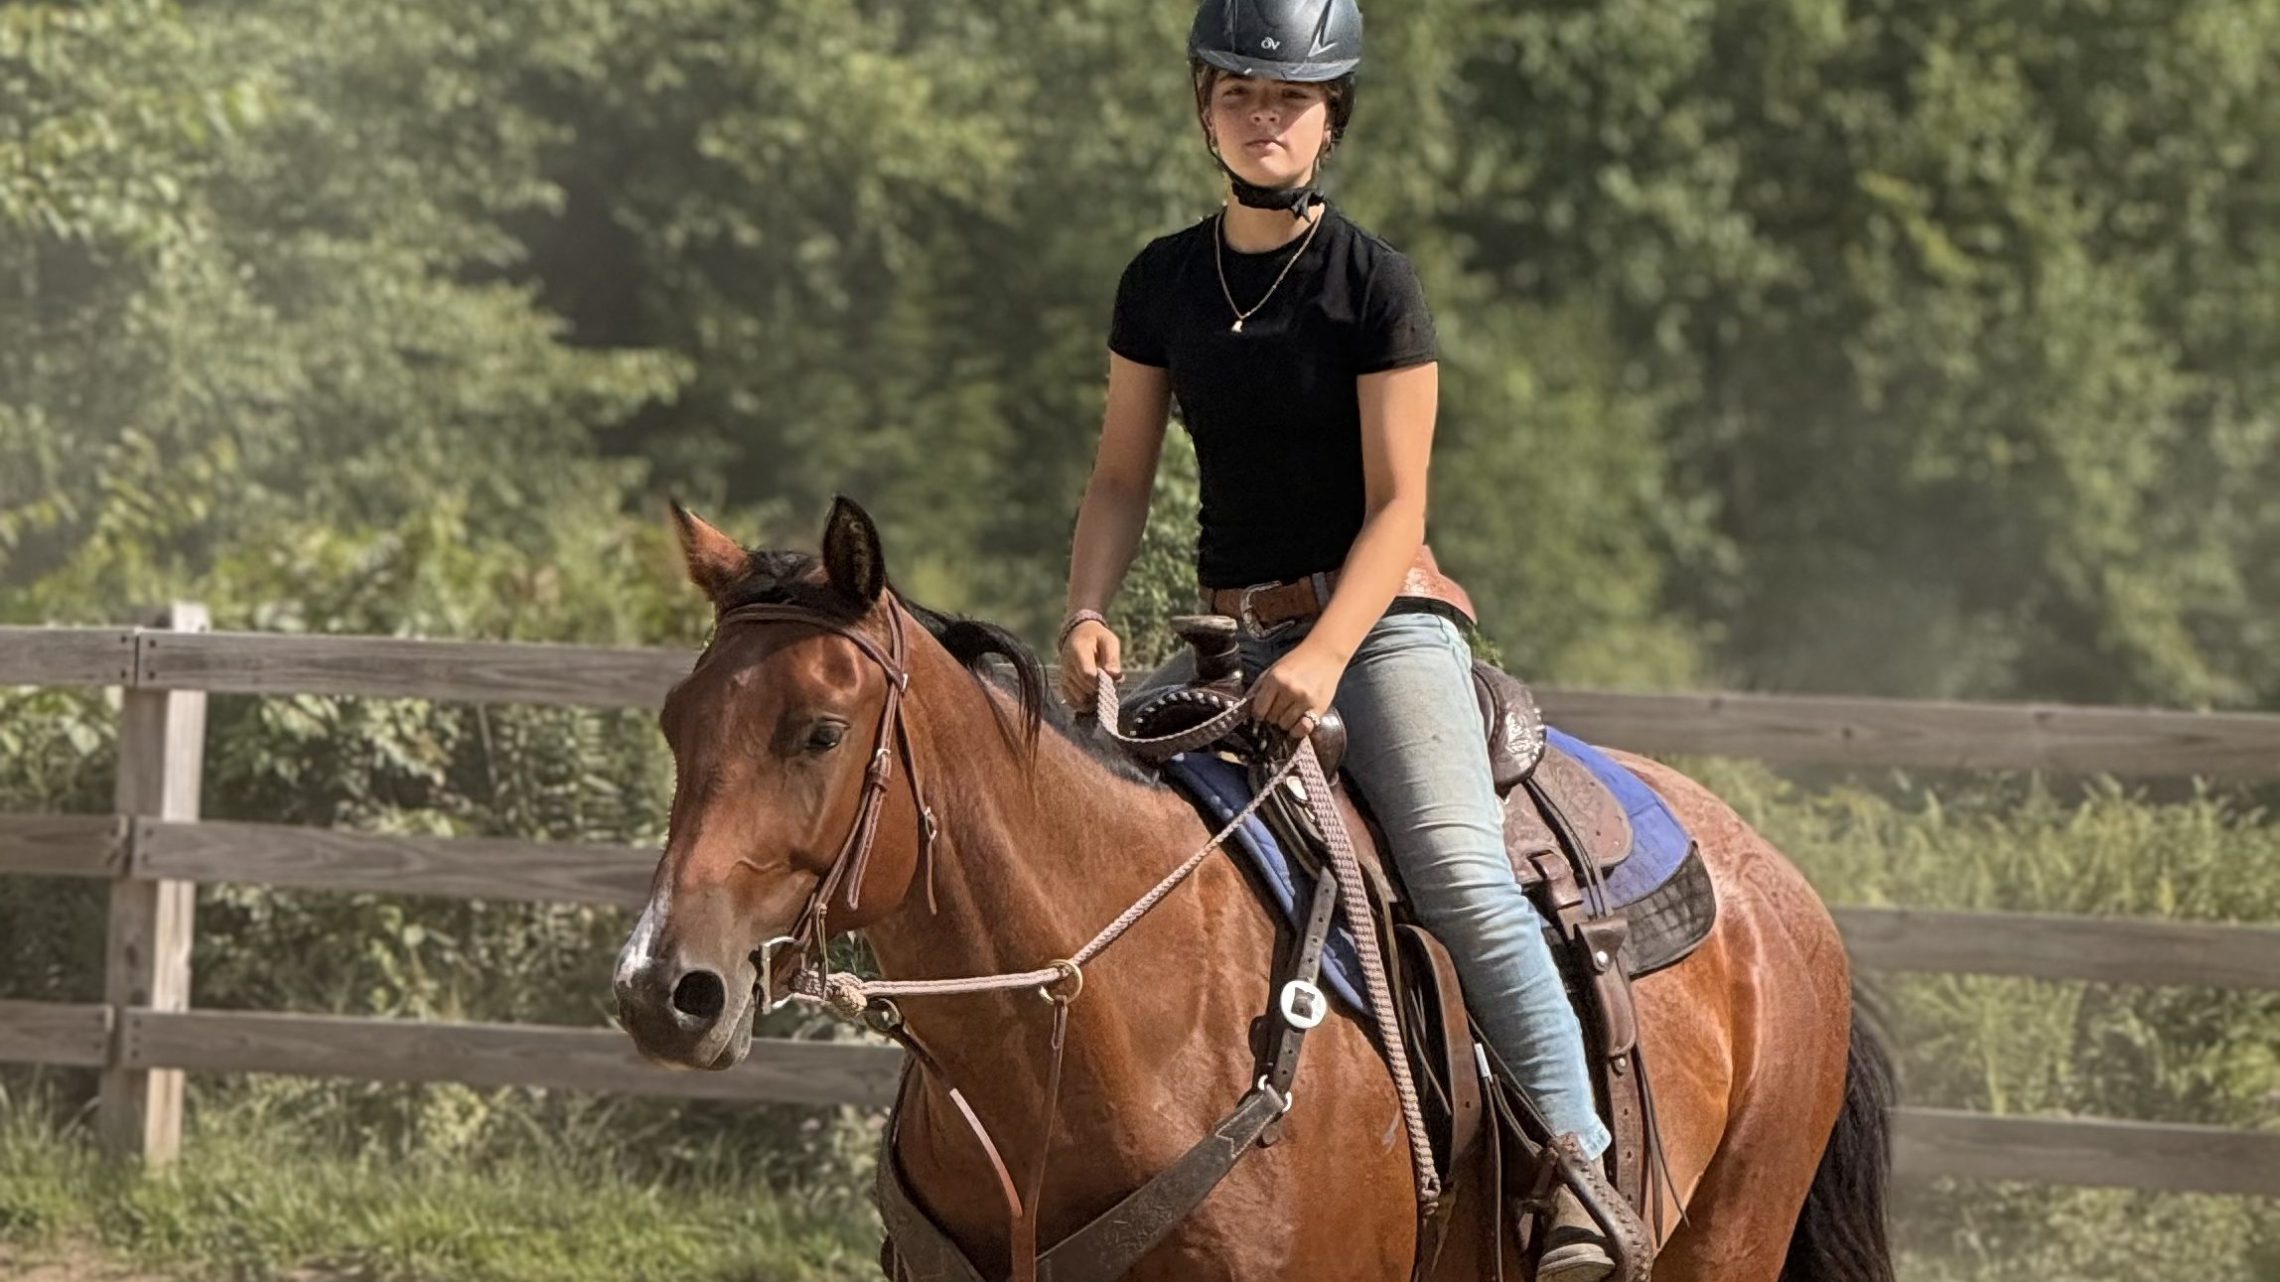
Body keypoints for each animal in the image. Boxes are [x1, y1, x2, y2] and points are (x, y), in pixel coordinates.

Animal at [614, 496, 1895, 1282]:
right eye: (676, 721)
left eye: (820, 731)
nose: (660, 989)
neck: (1095, 1036)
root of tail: (1786, 896)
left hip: (1729, 1241)